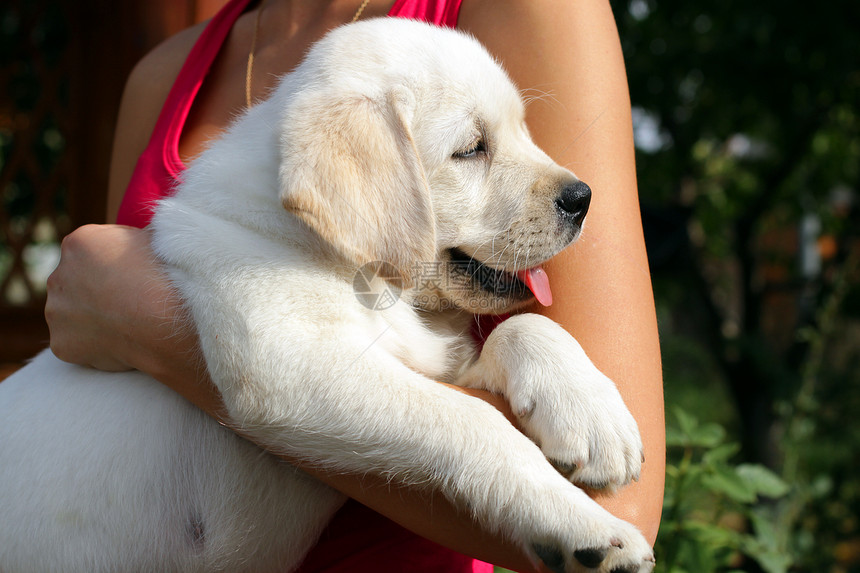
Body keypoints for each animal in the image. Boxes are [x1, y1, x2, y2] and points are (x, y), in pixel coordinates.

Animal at [0, 17, 652, 572]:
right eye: (471, 149)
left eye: (521, 130)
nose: (582, 198)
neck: (370, 282)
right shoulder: (288, 363)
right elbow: (476, 422)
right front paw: (589, 528)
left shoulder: (432, 359)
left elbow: (525, 327)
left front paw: (594, 417)